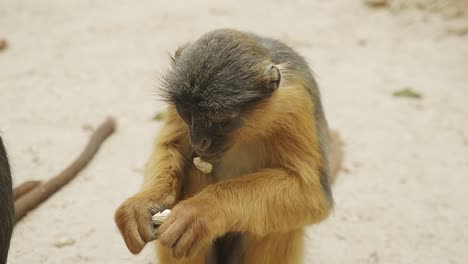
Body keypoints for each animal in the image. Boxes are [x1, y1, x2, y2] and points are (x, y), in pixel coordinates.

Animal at [115, 28, 342, 264]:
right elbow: (172, 146)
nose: (199, 140)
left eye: (220, 120)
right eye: (187, 113)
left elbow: (312, 194)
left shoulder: (295, 102)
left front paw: (202, 210)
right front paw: (143, 203)